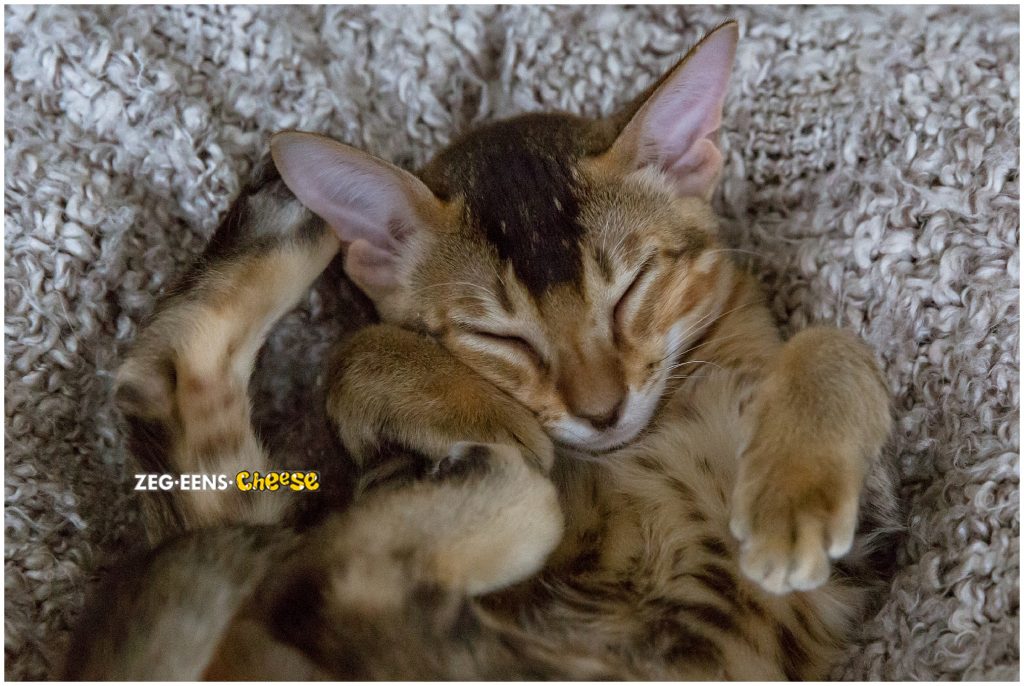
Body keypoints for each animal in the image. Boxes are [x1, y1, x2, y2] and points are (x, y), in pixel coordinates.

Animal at [66, 22, 897, 683]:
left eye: (631, 290)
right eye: (502, 337)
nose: (602, 412)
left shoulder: (873, 533)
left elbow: (834, 342)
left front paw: (791, 500)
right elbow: (359, 346)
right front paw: (487, 415)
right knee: (303, 563)